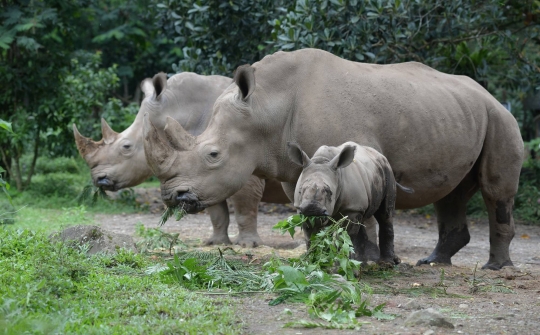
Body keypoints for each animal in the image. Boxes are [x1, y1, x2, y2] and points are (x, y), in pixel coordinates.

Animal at [75, 72, 292, 248]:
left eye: (126, 147)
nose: (98, 179)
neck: (178, 111)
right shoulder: (202, 175)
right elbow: (216, 212)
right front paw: (216, 243)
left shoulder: (238, 165)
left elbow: (244, 208)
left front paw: (247, 245)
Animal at [142, 48, 524, 272]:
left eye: (213, 155)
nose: (172, 197)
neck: (265, 107)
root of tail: (488, 93)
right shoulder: (294, 168)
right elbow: (310, 216)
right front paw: (317, 255)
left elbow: (362, 219)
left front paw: (363, 259)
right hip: (457, 113)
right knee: (451, 194)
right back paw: (433, 262)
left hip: (499, 118)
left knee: (495, 193)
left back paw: (496, 269)